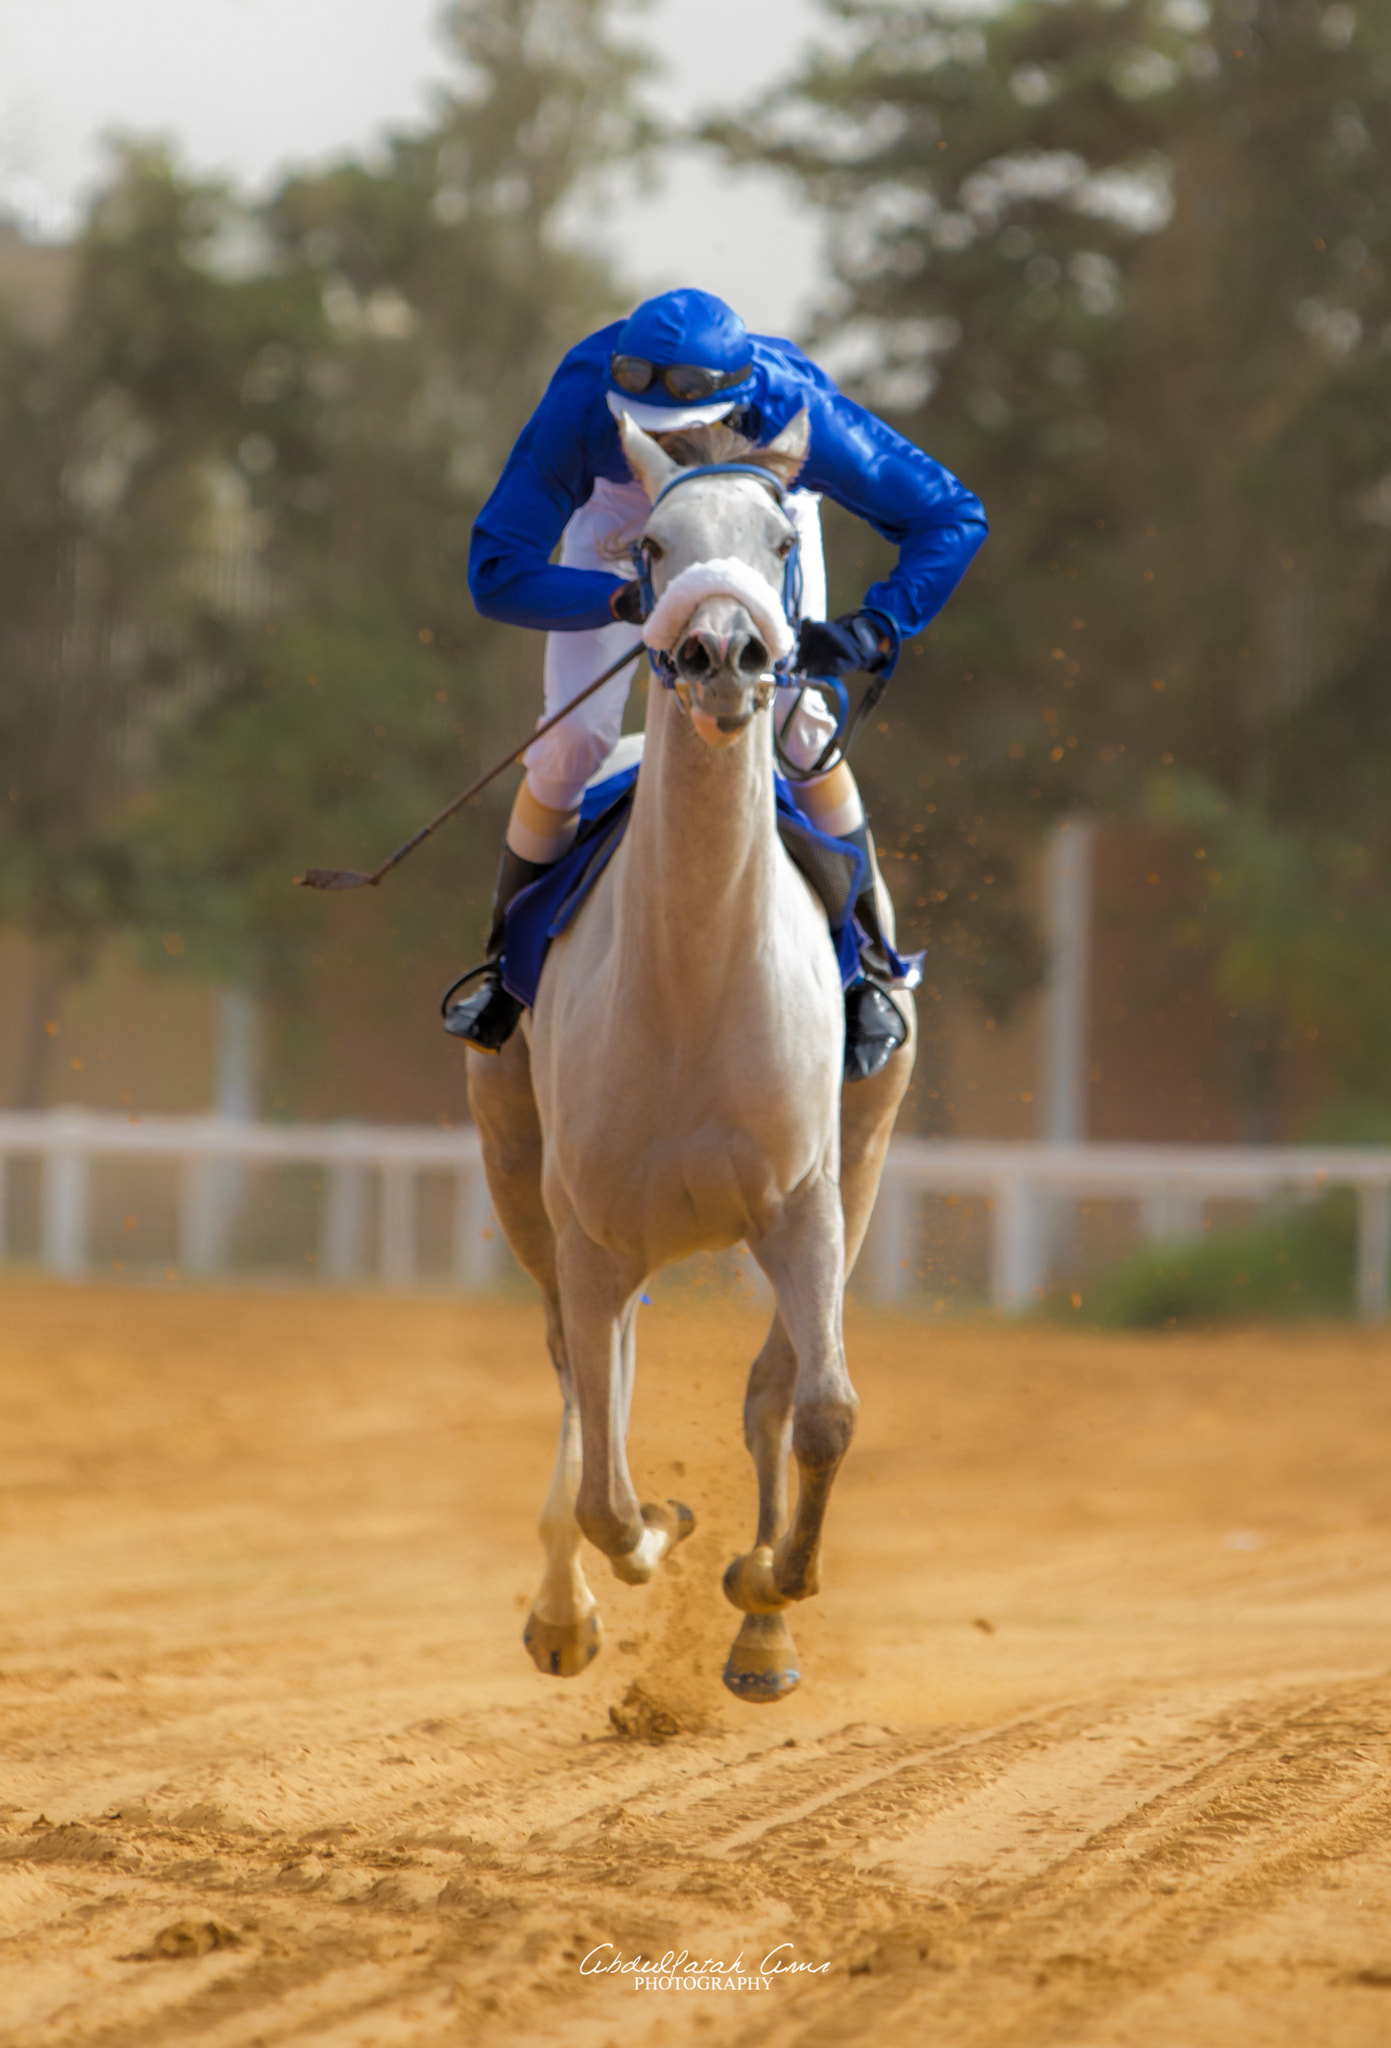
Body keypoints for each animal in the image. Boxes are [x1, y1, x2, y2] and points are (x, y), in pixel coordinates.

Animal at [466, 407, 916, 1702]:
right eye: (654, 549)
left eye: (780, 542)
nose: (721, 651)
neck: (692, 977)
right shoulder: (588, 1227)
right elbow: (611, 1491)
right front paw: (649, 1542)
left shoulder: (805, 1199)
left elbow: (818, 1408)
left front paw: (768, 1587)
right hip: (518, 1167)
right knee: (582, 1380)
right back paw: (563, 1606)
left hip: (861, 1158)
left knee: (763, 1386)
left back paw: (759, 1629)